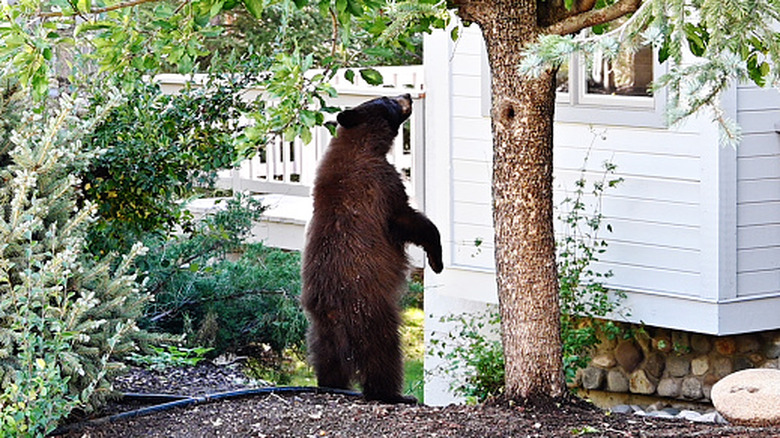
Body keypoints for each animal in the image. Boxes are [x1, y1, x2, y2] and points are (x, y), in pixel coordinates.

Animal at [301, 94, 443, 404]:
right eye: (386, 99)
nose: (407, 95)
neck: (361, 144)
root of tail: (332, 309)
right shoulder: (381, 185)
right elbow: (408, 220)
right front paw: (436, 260)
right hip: (371, 314)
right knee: (384, 355)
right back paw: (395, 395)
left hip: (319, 330)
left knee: (327, 360)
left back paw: (331, 384)